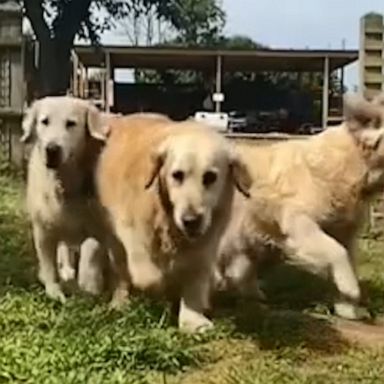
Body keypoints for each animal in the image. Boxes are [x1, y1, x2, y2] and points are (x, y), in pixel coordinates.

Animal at [22, 95, 110, 300]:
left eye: (71, 123)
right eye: (44, 121)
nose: (52, 149)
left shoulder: (98, 223)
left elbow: (91, 248)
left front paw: (90, 284)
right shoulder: (43, 227)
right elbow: (48, 264)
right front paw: (54, 291)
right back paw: (67, 270)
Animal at [96, 115, 252, 332]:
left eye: (210, 177)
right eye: (177, 175)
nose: (191, 221)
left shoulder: (204, 246)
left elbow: (194, 281)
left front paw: (193, 320)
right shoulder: (128, 229)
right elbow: (148, 276)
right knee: (122, 273)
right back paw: (121, 302)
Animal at [214, 94, 384, 320]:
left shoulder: (345, 232)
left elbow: (349, 259)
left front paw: (349, 310)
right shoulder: (299, 222)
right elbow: (337, 252)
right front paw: (351, 290)